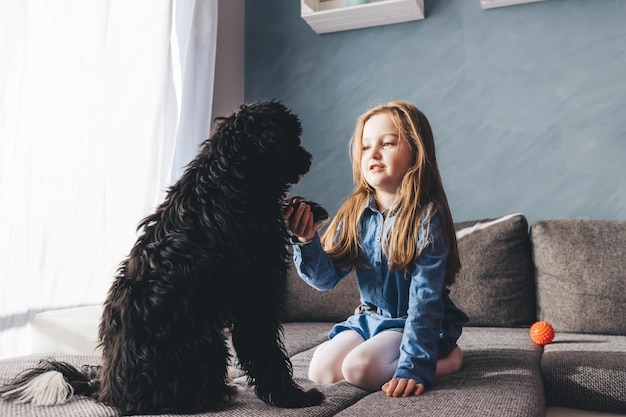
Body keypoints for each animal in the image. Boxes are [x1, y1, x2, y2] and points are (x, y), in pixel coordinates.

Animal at [3, 101, 326, 412]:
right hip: (204, 340)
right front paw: (294, 398)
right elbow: (267, 353)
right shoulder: (256, 298)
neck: (230, 178)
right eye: (290, 137)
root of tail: (107, 387)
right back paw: (222, 392)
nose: (309, 158)